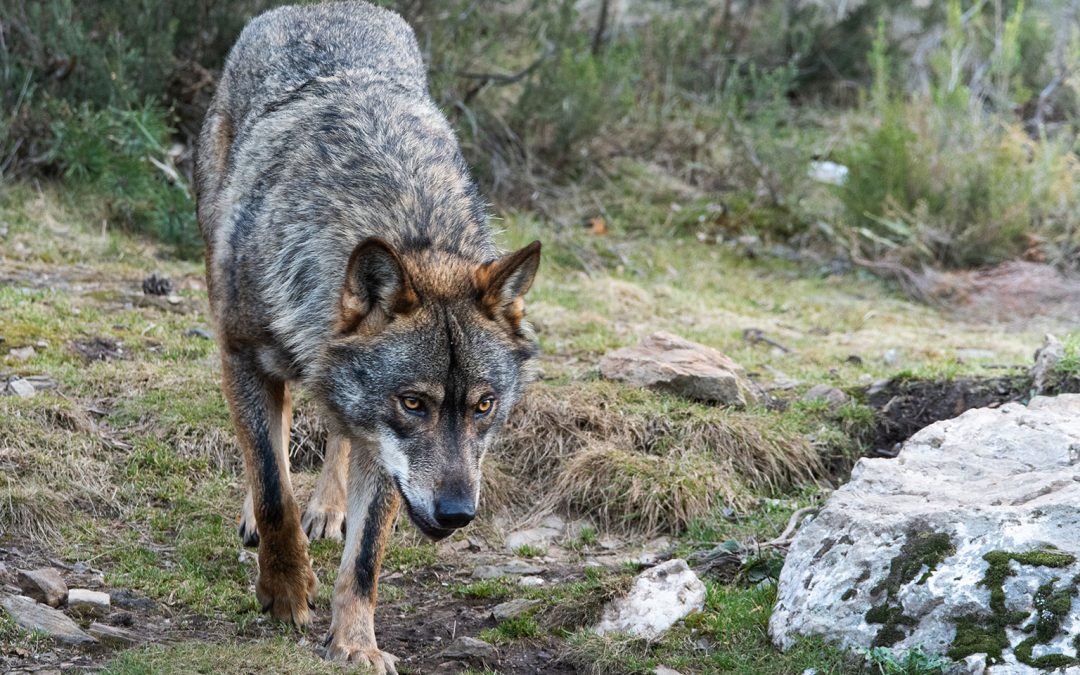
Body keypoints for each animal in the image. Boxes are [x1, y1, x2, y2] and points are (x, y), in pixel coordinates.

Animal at [194, 3, 540, 669]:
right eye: (414, 403)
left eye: (485, 406)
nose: (458, 514)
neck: (400, 217)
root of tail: (323, 8)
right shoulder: (241, 353)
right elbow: (273, 487)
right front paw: (285, 590)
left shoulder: (383, 446)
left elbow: (366, 556)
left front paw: (356, 644)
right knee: (273, 440)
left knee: (336, 431)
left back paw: (328, 510)